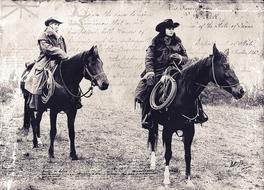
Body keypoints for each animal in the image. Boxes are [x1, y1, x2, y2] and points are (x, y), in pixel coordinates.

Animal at [146, 43, 245, 188]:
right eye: (225, 66)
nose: (241, 91)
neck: (183, 95)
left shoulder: (189, 130)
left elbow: (188, 155)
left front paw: (188, 180)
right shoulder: (168, 129)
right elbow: (168, 153)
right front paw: (166, 179)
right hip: (153, 123)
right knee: (153, 140)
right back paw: (152, 164)